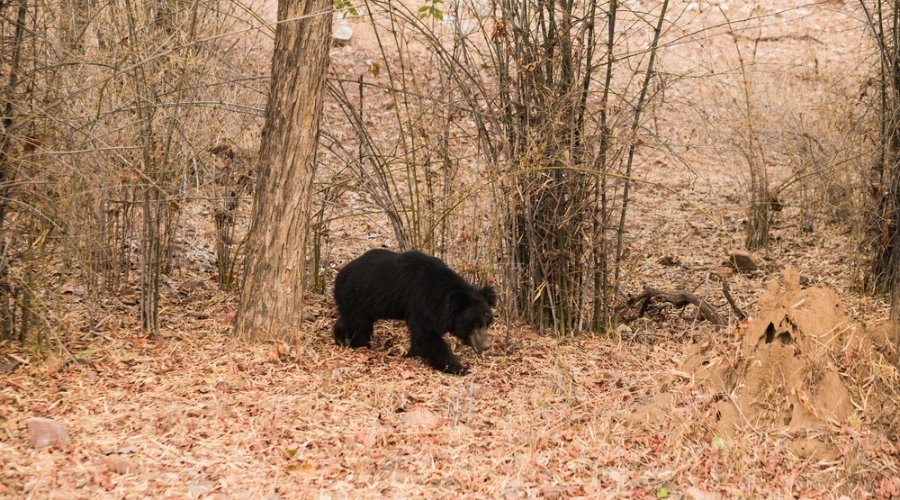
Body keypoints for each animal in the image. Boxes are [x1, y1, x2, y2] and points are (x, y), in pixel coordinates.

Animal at [333, 249, 497, 375]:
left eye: (487, 322)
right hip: (357, 296)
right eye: (474, 324)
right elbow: (427, 336)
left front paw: (412, 353)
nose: (486, 345)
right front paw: (459, 368)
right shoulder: (420, 303)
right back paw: (362, 345)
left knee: (350, 320)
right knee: (359, 325)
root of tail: (339, 275)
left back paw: (339, 337)